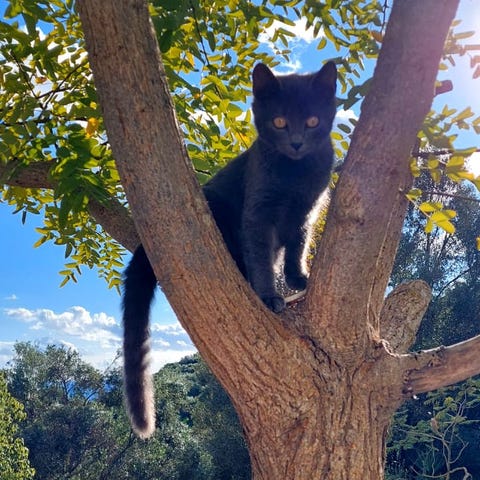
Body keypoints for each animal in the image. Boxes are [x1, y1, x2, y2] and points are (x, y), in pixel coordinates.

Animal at [122, 61, 337, 438]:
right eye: (279, 121)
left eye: (313, 121)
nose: (296, 142)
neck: (295, 174)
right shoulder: (258, 213)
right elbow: (262, 258)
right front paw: (269, 296)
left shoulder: (306, 212)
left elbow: (298, 245)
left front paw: (298, 278)